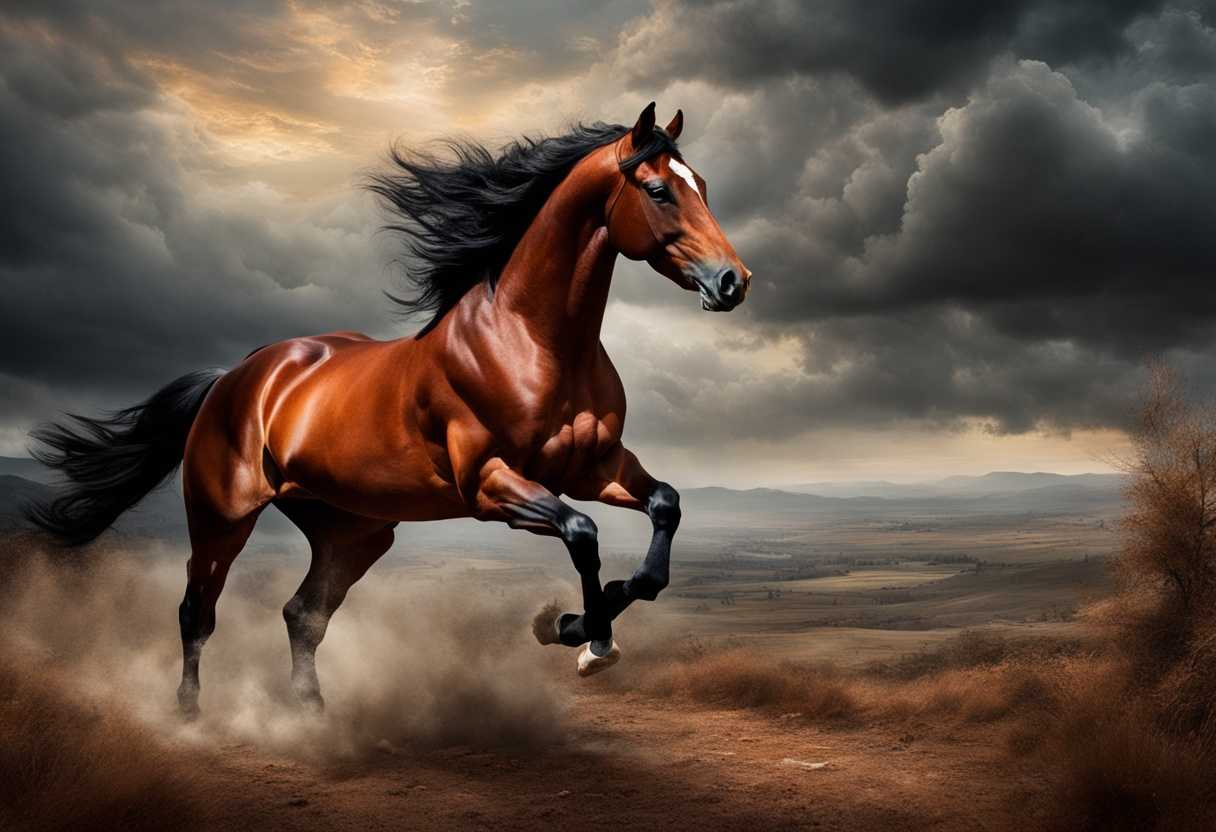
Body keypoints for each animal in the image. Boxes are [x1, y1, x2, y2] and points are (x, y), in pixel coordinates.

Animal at [26, 102, 751, 716]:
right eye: (658, 190)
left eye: (704, 184)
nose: (732, 282)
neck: (532, 340)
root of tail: (235, 377)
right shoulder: (490, 484)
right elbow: (582, 532)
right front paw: (581, 636)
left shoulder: (593, 467)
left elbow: (664, 513)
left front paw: (573, 628)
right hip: (221, 517)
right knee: (196, 613)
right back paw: (189, 716)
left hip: (353, 529)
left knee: (303, 614)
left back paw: (310, 714)